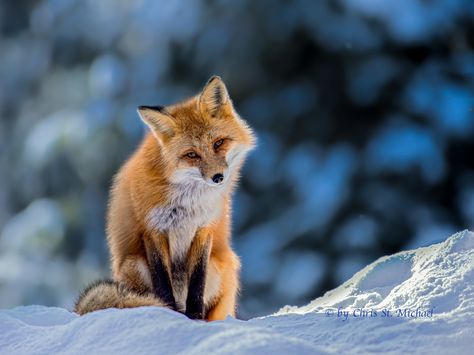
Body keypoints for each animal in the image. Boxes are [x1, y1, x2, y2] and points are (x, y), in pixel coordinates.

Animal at [75, 76, 256, 322]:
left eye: (218, 143)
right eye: (192, 155)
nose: (218, 177)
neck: (189, 201)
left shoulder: (204, 228)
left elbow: (197, 281)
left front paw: (194, 316)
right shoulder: (153, 229)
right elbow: (162, 279)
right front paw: (169, 312)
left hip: (222, 266)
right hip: (133, 263)